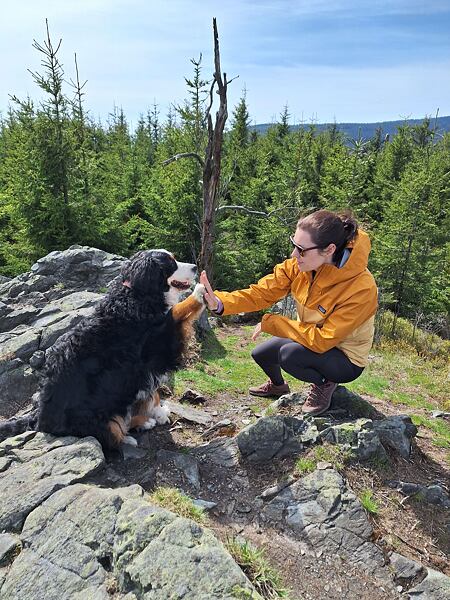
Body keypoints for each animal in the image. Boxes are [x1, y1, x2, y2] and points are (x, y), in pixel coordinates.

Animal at [0, 248, 207, 450]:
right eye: (171, 263)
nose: (195, 267)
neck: (137, 295)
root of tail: (38, 419)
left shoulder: (141, 368)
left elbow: (153, 393)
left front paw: (158, 412)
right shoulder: (157, 344)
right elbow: (177, 310)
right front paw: (199, 292)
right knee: (114, 432)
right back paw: (133, 431)